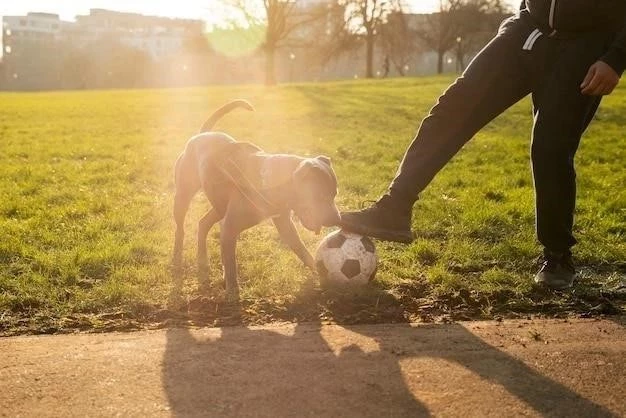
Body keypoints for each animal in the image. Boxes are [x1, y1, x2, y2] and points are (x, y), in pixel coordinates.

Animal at [172, 99, 342, 300]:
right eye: (320, 196)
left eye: (335, 194)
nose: (337, 219)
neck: (272, 180)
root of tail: (201, 135)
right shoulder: (229, 227)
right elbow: (231, 264)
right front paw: (233, 292)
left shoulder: (285, 225)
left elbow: (301, 250)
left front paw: (321, 274)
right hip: (183, 197)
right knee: (180, 230)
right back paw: (177, 258)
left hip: (219, 208)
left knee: (203, 223)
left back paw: (203, 262)